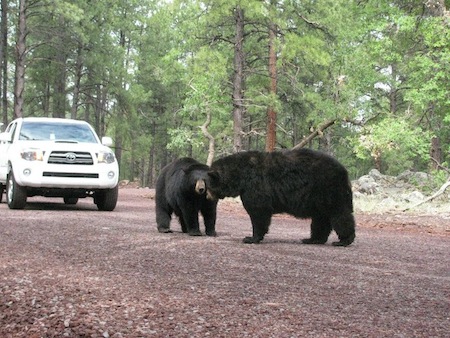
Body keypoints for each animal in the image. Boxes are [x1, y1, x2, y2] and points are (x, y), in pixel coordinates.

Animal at [207, 148, 356, 246]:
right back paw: (313, 239)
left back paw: (344, 240)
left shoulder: (255, 187)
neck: (240, 175)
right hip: (319, 199)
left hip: (328, 189)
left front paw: (251, 238)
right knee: (320, 218)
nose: (208, 198)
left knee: (339, 214)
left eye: (208, 186)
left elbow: (258, 212)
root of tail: (345, 171)